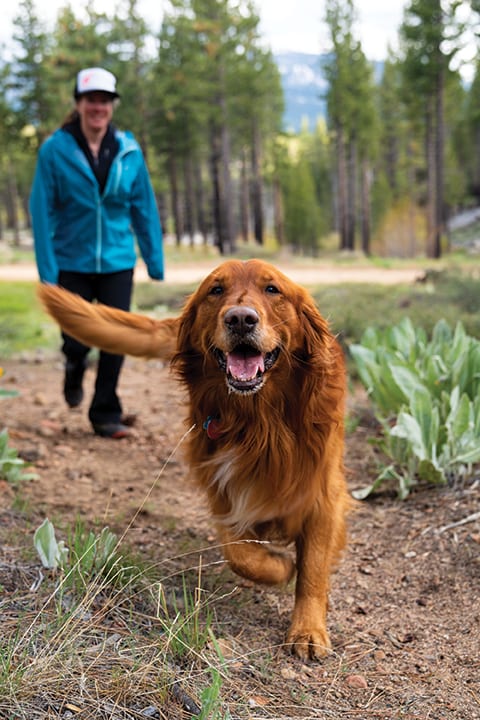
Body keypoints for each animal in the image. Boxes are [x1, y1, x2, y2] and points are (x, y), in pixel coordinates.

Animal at [38, 262, 348, 660]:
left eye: (272, 289)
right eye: (216, 290)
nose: (241, 319)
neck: (260, 421)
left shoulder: (323, 493)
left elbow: (312, 568)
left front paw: (308, 629)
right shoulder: (220, 480)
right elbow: (239, 552)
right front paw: (279, 565)